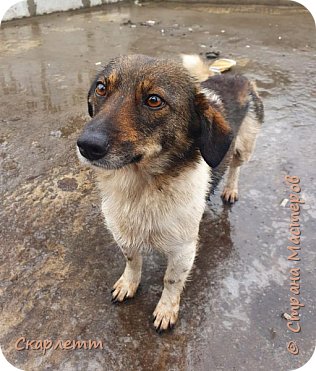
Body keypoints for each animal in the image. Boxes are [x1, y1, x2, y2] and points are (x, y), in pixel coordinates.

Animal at [77, 54, 264, 332]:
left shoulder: (183, 250)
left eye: (154, 100)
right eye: (101, 88)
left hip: (245, 146)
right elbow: (132, 262)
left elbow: (171, 281)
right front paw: (128, 284)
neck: (141, 187)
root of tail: (235, 77)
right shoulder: (123, 233)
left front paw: (166, 310)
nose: (87, 145)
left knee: (235, 167)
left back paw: (230, 189)